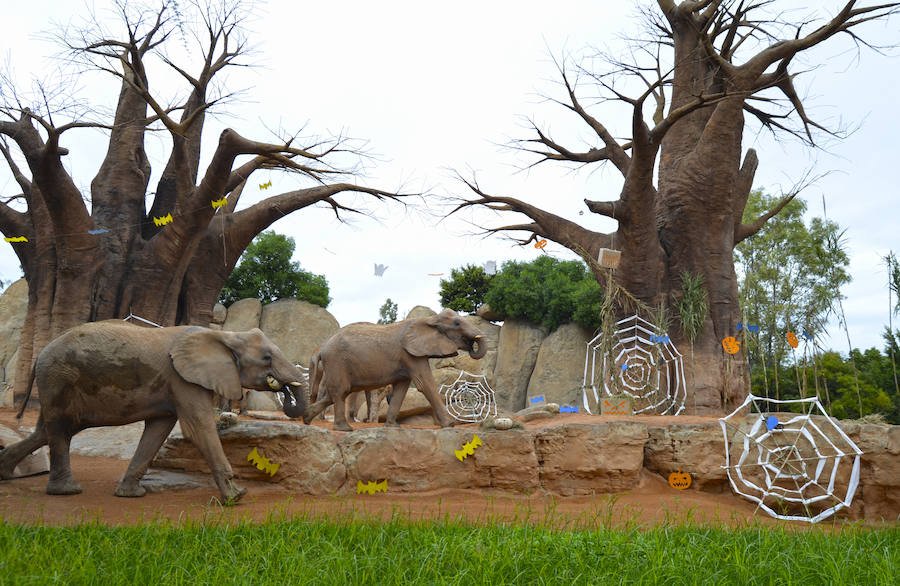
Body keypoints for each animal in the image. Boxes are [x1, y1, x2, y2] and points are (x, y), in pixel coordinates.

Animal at [0, 320, 308, 502]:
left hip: (57, 383)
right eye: (267, 357)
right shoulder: (182, 379)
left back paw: (6, 473)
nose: (283, 388)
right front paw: (235, 497)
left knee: (49, 431)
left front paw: (131, 495)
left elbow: (158, 431)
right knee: (61, 431)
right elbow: (199, 429)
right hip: (59, 379)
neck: (224, 334)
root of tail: (40, 353)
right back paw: (67, 491)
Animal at [302, 310, 486, 428]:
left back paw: (306, 418)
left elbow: (401, 389)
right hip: (337, 362)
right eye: (457, 323)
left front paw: (393, 427)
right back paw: (344, 429)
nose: (472, 345)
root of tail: (322, 348)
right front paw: (450, 425)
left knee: (337, 393)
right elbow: (425, 384)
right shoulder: (410, 355)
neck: (429, 319)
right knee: (340, 391)